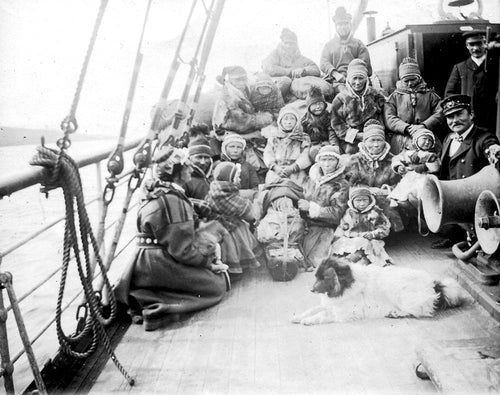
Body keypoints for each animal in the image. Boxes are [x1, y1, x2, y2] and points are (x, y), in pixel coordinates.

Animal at [292, 255, 470, 326]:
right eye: (316, 277)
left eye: (324, 278)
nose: (311, 289)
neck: (346, 284)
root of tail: (434, 285)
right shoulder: (329, 304)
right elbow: (312, 309)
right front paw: (299, 316)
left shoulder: (343, 313)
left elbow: (321, 314)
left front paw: (308, 321)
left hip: (403, 296)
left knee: (419, 312)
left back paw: (396, 313)